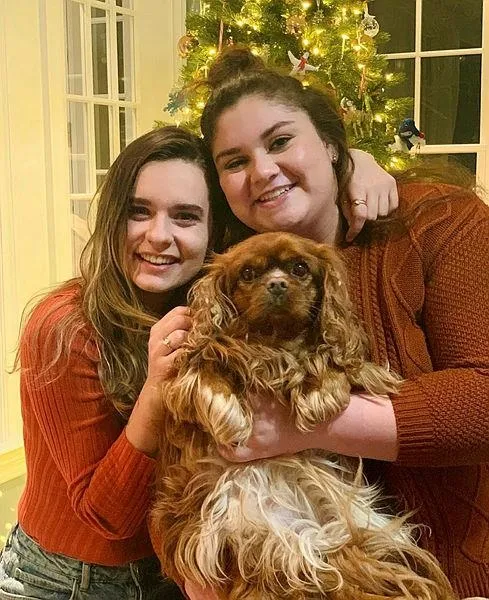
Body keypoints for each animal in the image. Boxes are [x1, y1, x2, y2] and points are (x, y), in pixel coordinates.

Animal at [152, 232, 455, 599]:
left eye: (299, 268)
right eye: (248, 273)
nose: (277, 284)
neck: (275, 344)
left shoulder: (355, 369)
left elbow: (334, 363)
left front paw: (318, 393)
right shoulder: (186, 380)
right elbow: (206, 367)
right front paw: (232, 416)